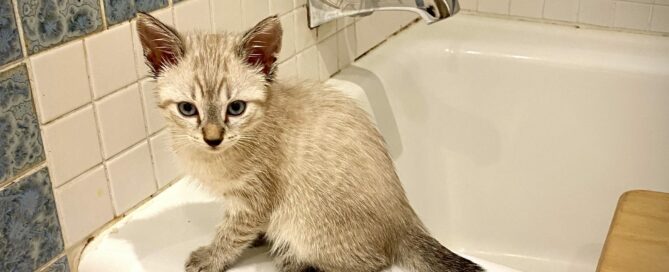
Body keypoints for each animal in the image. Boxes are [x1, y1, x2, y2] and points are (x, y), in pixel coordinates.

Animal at [134, 12, 480, 272]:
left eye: (236, 108)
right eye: (187, 109)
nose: (213, 138)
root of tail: (405, 224)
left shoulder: (253, 199)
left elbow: (231, 234)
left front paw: (210, 258)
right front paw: (254, 239)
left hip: (307, 226)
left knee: (371, 263)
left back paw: (294, 260)